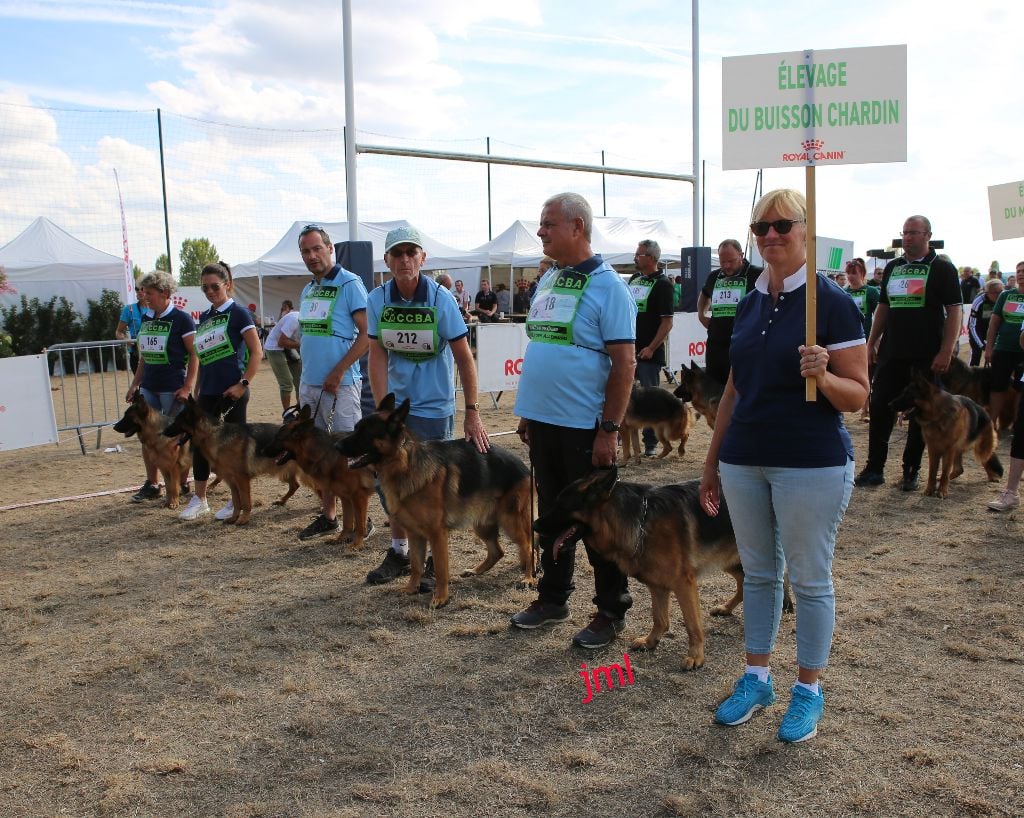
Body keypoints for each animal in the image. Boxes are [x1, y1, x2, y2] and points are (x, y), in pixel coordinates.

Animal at [163, 397, 313, 524]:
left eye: (176, 422)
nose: (163, 432)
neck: (213, 434)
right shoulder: (231, 481)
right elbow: (236, 502)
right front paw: (233, 518)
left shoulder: (242, 479)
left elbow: (245, 502)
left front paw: (244, 519)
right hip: (283, 471)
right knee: (294, 485)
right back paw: (282, 501)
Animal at [264, 405, 376, 548]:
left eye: (278, 438)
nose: (262, 450)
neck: (325, 452)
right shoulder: (346, 498)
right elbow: (347, 522)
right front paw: (340, 539)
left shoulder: (358, 497)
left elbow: (360, 524)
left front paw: (356, 544)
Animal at [339, 393, 540, 610]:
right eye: (356, 428)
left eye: (365, 433)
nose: (336, 446)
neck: (404, 464)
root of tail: (524, 467)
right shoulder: (414, 534)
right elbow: (416, 566)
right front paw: (411, 589)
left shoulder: (437, 534)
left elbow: (441, 569)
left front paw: (441, 598)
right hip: (482, 524)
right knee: (498, 551)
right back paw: (476, 571)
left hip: (512, 522)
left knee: (529, 547)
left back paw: (529, 577)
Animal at [532, 466, 741, 671]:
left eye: (561, 506)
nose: (533, 525)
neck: (642, 521)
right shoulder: (657, 584)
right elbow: (659, 618)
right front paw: (650, 641)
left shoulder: (683, 584)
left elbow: (692, 624)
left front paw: (695, 656)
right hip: (731, 561)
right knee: (742, 585)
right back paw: (726, 608)